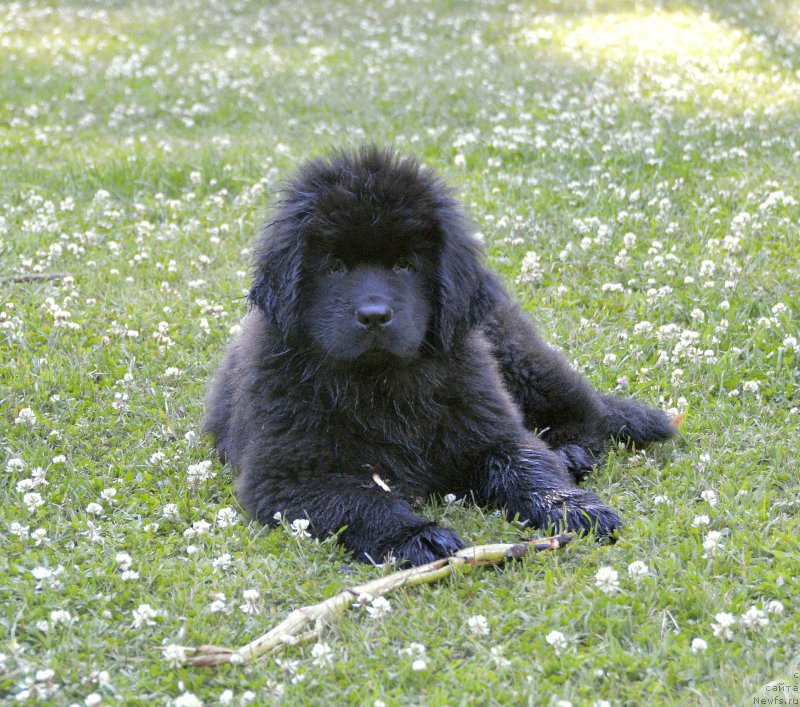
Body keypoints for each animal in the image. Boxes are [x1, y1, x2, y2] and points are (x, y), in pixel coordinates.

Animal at [206, 147, 676, 568]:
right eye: (334, 267)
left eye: (405, 265)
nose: (374, 316)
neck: (381, 383)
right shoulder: (288, 475)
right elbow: (359, 501)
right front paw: (417, 537)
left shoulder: (492, 425)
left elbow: (526, 464)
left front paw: (571, 507)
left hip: (520, 358)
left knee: (589, 412)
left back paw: (572, 452)